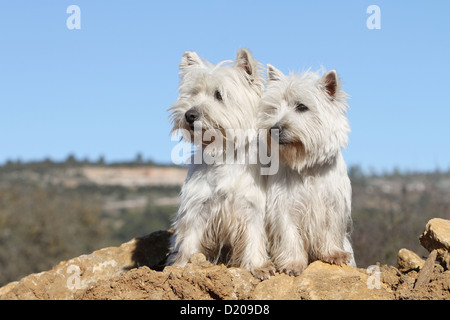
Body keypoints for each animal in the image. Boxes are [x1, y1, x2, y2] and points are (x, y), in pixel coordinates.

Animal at [167, 48, 274, 278]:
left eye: (219, 95)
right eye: (193, 93)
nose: (189, 114)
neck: (223, 153)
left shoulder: (251, 208)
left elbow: (254, 237)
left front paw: (258, 266)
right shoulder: (197, 207)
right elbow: (189, 241)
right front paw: (183, 267)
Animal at [260, 64, 356, 276]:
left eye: (301, 107)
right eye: (273, 108)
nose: (274, 129)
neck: (307, 166)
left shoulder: (333, 205)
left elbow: (330, 230)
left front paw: (334, 253)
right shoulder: (283, 207)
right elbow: (289, 235)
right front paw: (292, 264)